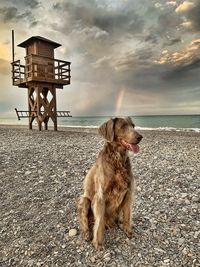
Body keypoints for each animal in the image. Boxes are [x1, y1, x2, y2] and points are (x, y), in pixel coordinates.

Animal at [77, 118, 142, 251]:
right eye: (123, 126)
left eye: (133, 126)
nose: (140, 137)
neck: (117, 159)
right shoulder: (100, 196)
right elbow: (99, 221)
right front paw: (98, 242)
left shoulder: (128, 193)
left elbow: (127, 215)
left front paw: (128, 231)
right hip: (85, 200)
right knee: (84, 219)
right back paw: (86, 233)